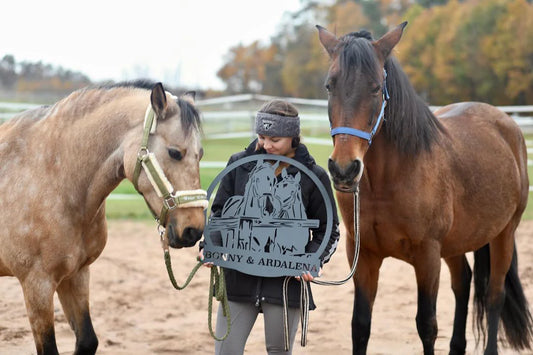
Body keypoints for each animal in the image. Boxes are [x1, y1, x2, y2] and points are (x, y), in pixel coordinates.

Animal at [0, 81, 207, 355]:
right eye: (175, 153)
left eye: (200, 154)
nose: (193, 229)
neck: (54, 178)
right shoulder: (37, 284)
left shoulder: (77, 274)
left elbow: (88, 340)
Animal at [316, 23, 532, 355]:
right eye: (330, 86)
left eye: (376, 88)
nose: (344, 169)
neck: (386, 182)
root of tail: (505, 124)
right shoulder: (363, 255)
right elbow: (361, 325)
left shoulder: (428, 256)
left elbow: (426, 325)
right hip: (458, 242)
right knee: (464, 282)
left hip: (504, 234)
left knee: (494, 295)